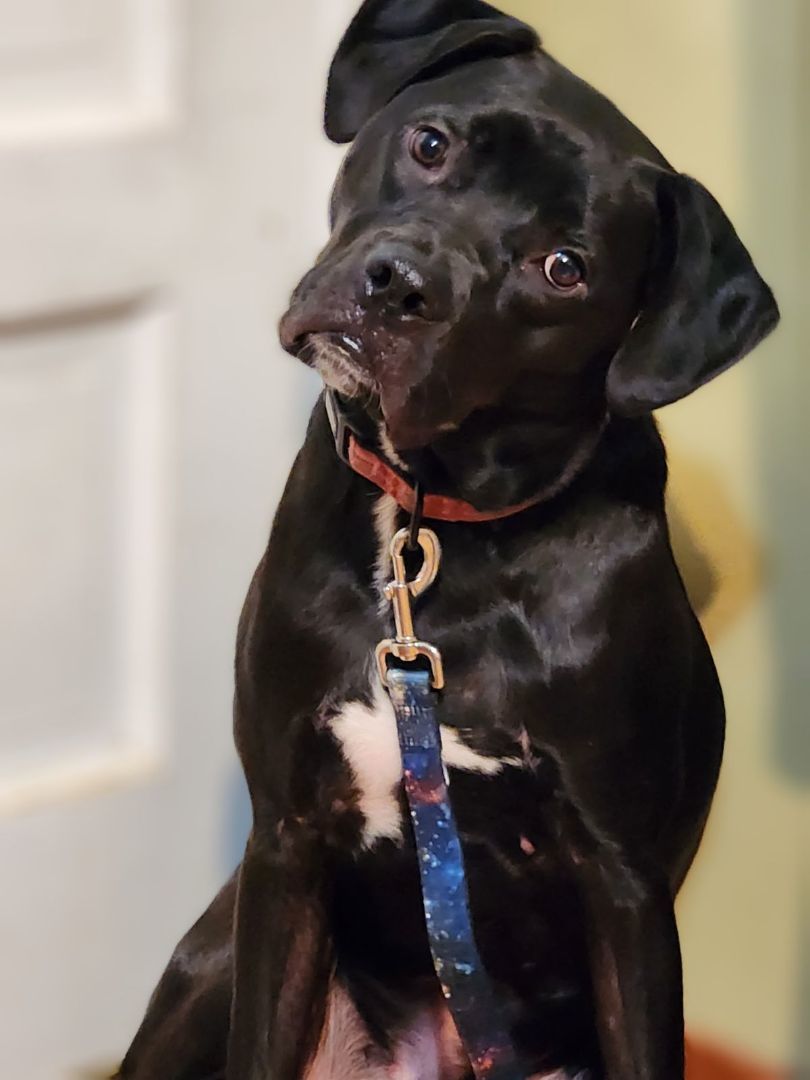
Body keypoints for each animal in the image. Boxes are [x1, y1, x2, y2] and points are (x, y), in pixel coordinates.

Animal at [115, 2, 781, 1080]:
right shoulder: (285, 841)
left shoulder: (625, 890)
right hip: (210, 958)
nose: (400, 285)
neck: (436, 525)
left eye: (564, 269)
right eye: (431, 144)